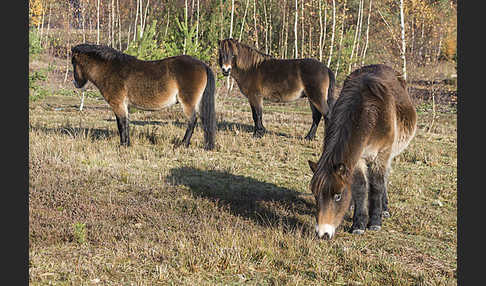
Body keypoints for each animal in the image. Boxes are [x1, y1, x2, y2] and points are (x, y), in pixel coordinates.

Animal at [70, 43, 216, 150]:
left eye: (73, 63)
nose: (76, 83)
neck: (110, 69)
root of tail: (202, 65)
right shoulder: (124, 105)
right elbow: (125, 123)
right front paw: (126, 143)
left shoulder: (118, 104)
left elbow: (121, 124)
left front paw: (123, 145)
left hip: (188, 103)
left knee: (192, 121)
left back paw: (183, 144)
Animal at [308, 64, 418, 239]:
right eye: (315, 194)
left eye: (338, 196)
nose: (323, 233)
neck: (371, 112)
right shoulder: (357, 158)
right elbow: (360, 186)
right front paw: (359, 223)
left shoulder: (381, 155)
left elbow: (377, 185)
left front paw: (374, 222)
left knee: (384, 179)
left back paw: (384, 209)